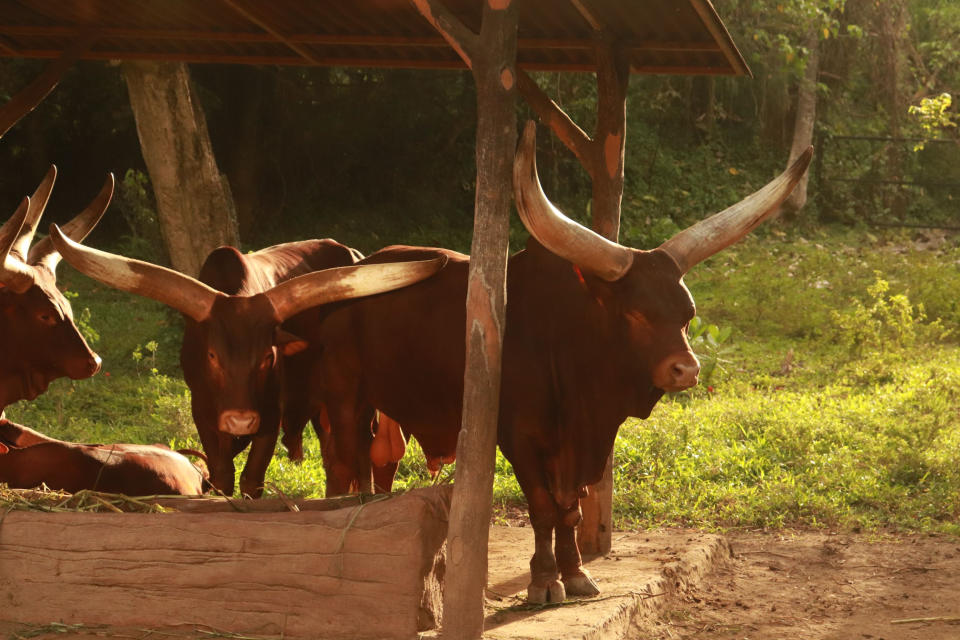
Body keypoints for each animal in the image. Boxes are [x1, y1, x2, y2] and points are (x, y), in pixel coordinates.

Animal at [48, 230, 446, 500]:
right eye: (212, 356)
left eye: (268, 356)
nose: (240, 420)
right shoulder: (204, 414)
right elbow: (222, 473)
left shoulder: (269, 415)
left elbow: (252, 478)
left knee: (360, 450)